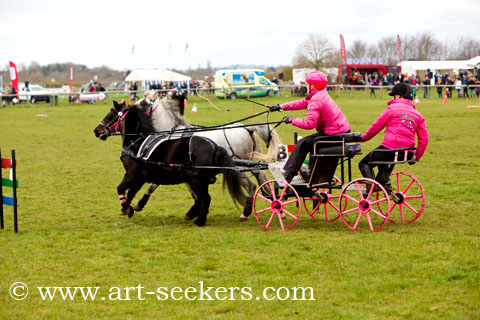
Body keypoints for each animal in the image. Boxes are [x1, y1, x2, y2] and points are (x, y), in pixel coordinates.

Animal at [93, 100, 246, 225]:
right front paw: (128, 208)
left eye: (111, 115)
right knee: (202, 199)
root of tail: (214, 146)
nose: (96, 131)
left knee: (206, 198)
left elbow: (120, 188)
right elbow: (131, 192)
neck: (137, 141)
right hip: (199, 180)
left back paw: (200, 221)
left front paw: (126, 207)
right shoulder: (140, 178)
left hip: (197, 180)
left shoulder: (131, 175)